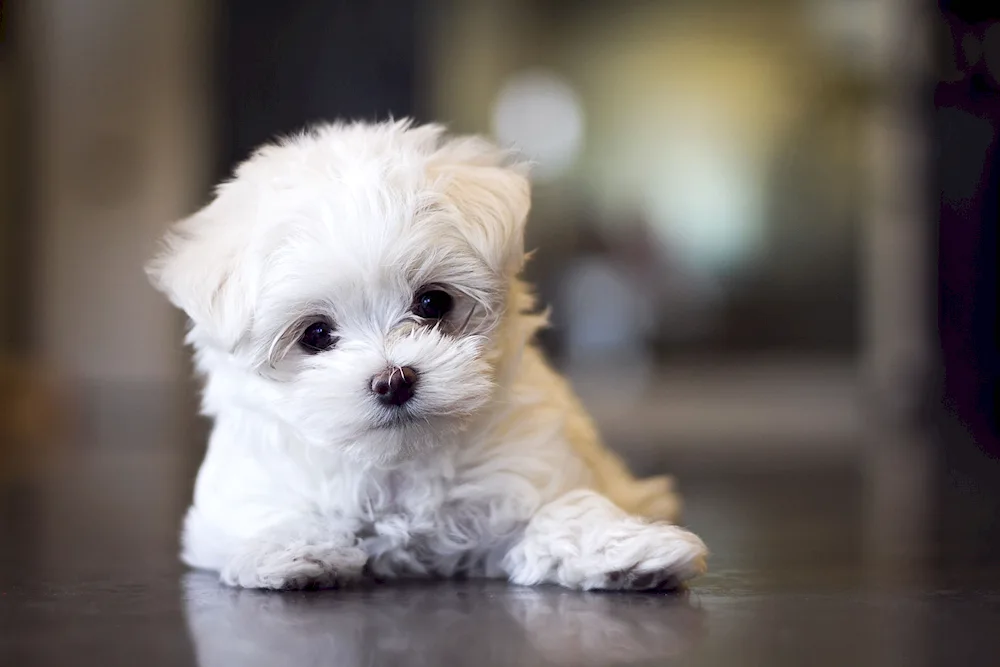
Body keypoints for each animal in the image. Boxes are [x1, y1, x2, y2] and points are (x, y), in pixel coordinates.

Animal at [150, 118, 712, 588]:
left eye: (432, 302)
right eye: (315, 335)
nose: (393, 380)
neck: (401, 464)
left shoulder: (527, 469)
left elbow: (564, 511)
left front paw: (628, 552)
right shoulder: (240, 497)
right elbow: (268, 514)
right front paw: (294, 552)